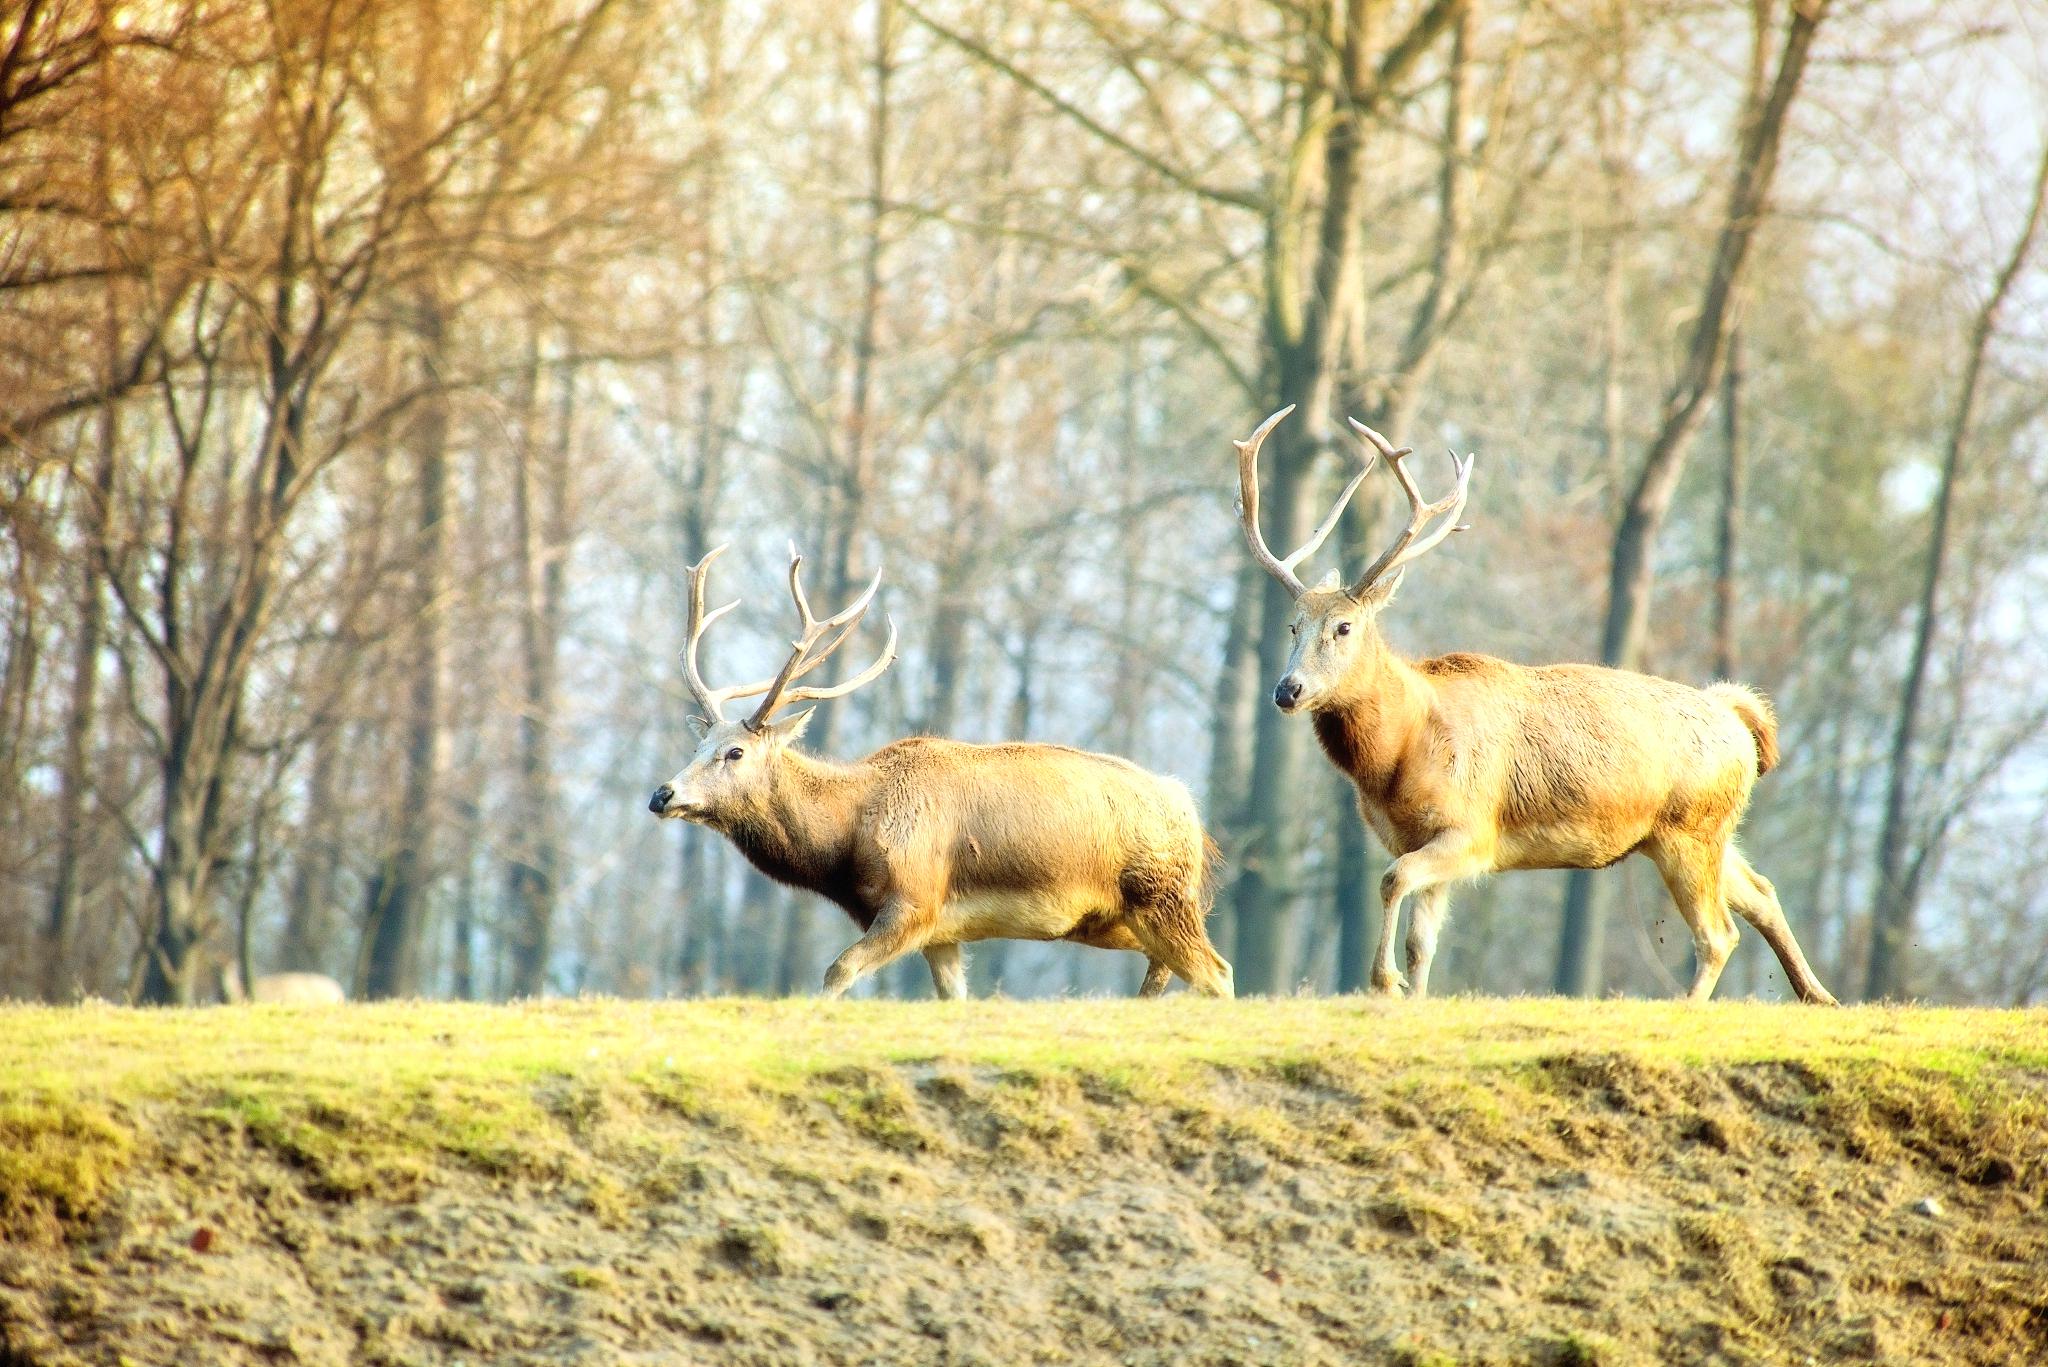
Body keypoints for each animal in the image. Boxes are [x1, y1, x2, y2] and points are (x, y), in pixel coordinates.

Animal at [647, 545, 1236, 1004]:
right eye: (698, 744)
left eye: (735, 752)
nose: (662, 794)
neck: (849, 838)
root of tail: (1193, 817)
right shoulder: (942, 932)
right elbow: (952, 996)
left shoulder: (916, 899)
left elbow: (838, 969)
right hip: (1119, 917)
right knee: (1172, 970)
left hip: (1161, 897)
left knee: (1219, 973)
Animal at [1228, 405, 1843, 1004]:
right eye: (1292, 626)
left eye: (1344, 626)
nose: (1287, 690)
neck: (1399, 756)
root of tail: (1737, 718)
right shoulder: (1417, 838)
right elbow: (1422, 942)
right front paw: (1411, 995)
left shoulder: (1472, 829)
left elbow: (1391, 880)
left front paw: (1384, 982)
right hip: (1702, 831)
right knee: (1762, 892)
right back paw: (1819, 996)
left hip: (1688, 830)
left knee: (1718, 934)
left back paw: (1693, 1006)